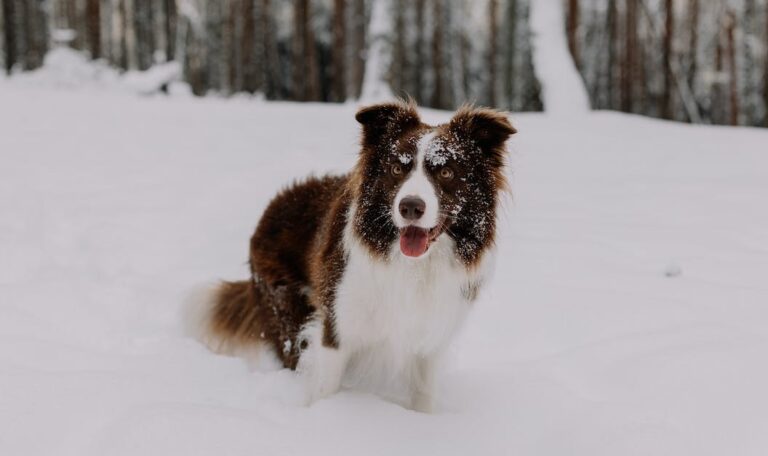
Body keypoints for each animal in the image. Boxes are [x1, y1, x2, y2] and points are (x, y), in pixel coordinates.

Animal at [188, 100, 516, 414]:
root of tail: (274, 204)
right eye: (397, 170)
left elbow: (423, 396)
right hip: (287, 308)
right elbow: (324, 388)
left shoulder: (430, 337)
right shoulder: (336, 329)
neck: (413, 266)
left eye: (446, 172)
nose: (410, 206)